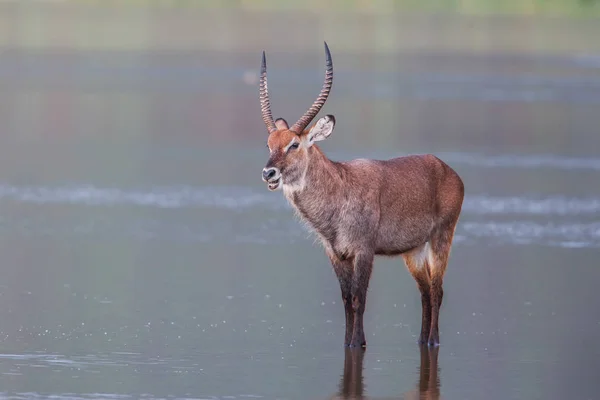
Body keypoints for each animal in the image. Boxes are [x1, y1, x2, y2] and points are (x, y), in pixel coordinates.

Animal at [258, 41, 464, 346]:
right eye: (269, 143)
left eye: (294, 144)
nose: (268, 173)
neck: (338, 191)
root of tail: (448, 170)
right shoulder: (336, 253)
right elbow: (345, 299)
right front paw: (348, 343)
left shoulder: (364, 251)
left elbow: (358, 298)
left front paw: (358, 343)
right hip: (413, 250)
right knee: (425, 292)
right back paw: (421, 340)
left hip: (441, 238)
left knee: (437, 290)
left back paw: (433, 341)